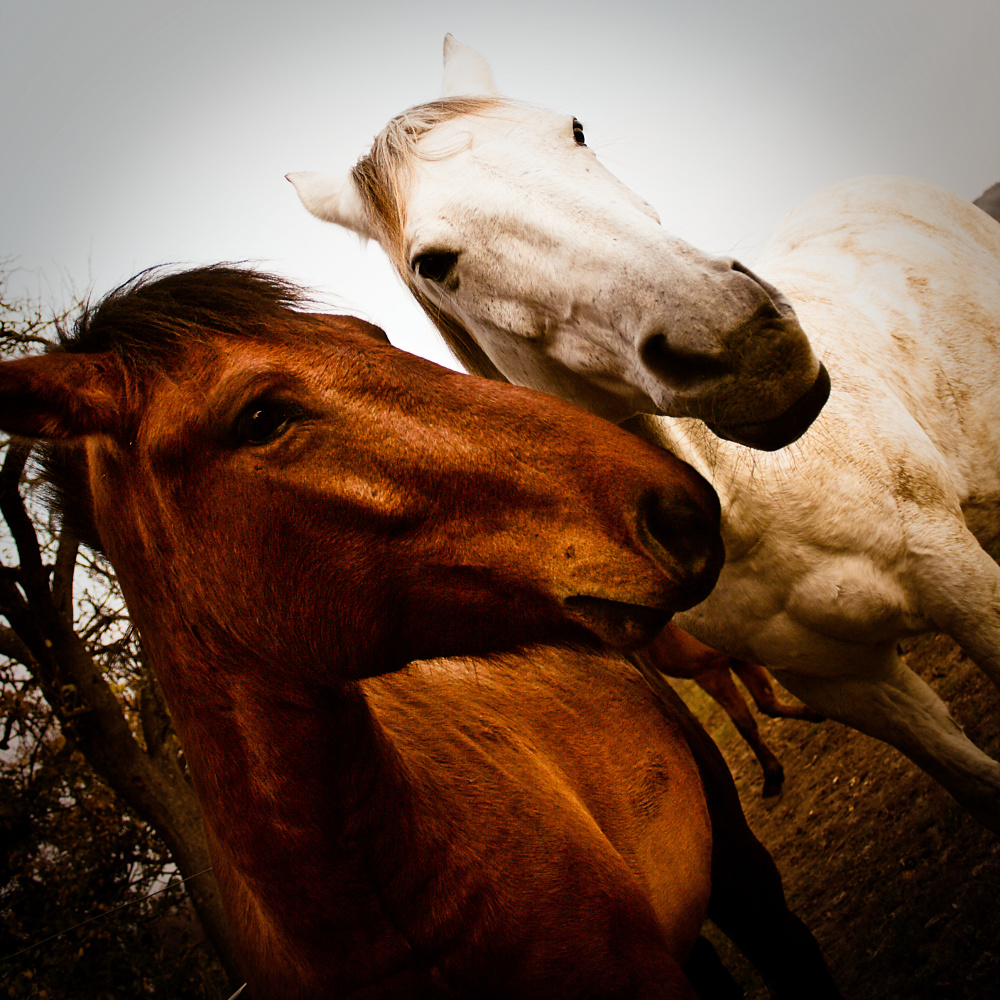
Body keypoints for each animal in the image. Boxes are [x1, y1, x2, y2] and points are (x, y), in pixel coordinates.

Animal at [286, 35, 1000, 832]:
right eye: (432, 264)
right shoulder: (848, 687)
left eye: (574, 129)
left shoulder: (963, 584)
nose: (739, 339)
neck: (756, 509)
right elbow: (976, 781)